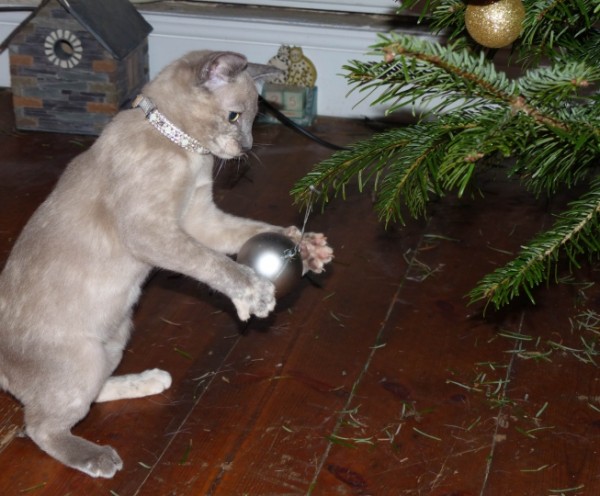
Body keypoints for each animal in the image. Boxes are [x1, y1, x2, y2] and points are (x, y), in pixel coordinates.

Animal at [0, 49, 332, 476]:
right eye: (233, 117)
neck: (186, 149)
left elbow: (251, 230)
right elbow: (213, 264)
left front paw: (306, 248)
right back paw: (99, 457)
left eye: (252, 119)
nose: (246, 148)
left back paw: (149, 380)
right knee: (41, 426)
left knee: (87, 397)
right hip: (82, 359)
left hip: (115, 338)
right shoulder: (152, 231)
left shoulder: (201, 219)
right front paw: (254, 294)